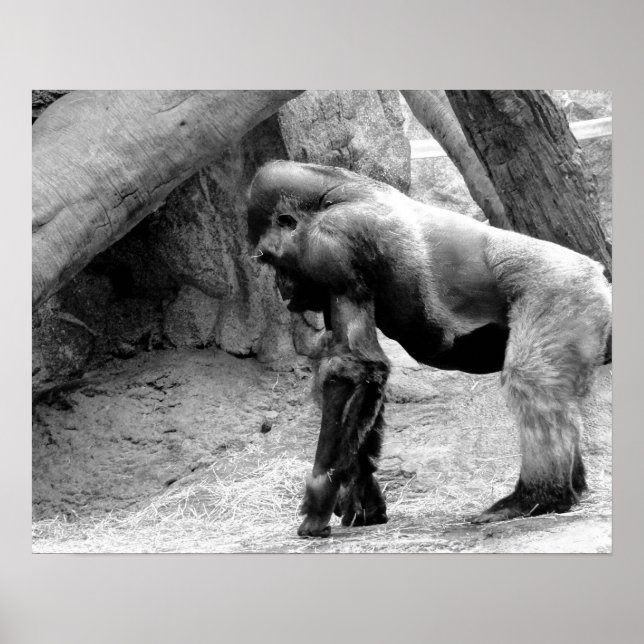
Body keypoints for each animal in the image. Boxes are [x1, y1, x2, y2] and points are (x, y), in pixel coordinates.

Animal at [247, 160, 612, 538]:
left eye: (272, 261)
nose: (282, 289)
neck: (326, 198)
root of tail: (598, 270)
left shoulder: (332, 245)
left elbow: (353, 368)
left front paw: (318, 500)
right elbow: (357, 374)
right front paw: (362, 498)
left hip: (565, 288)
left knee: (532, 379)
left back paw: (538, 497)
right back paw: (562, 493)